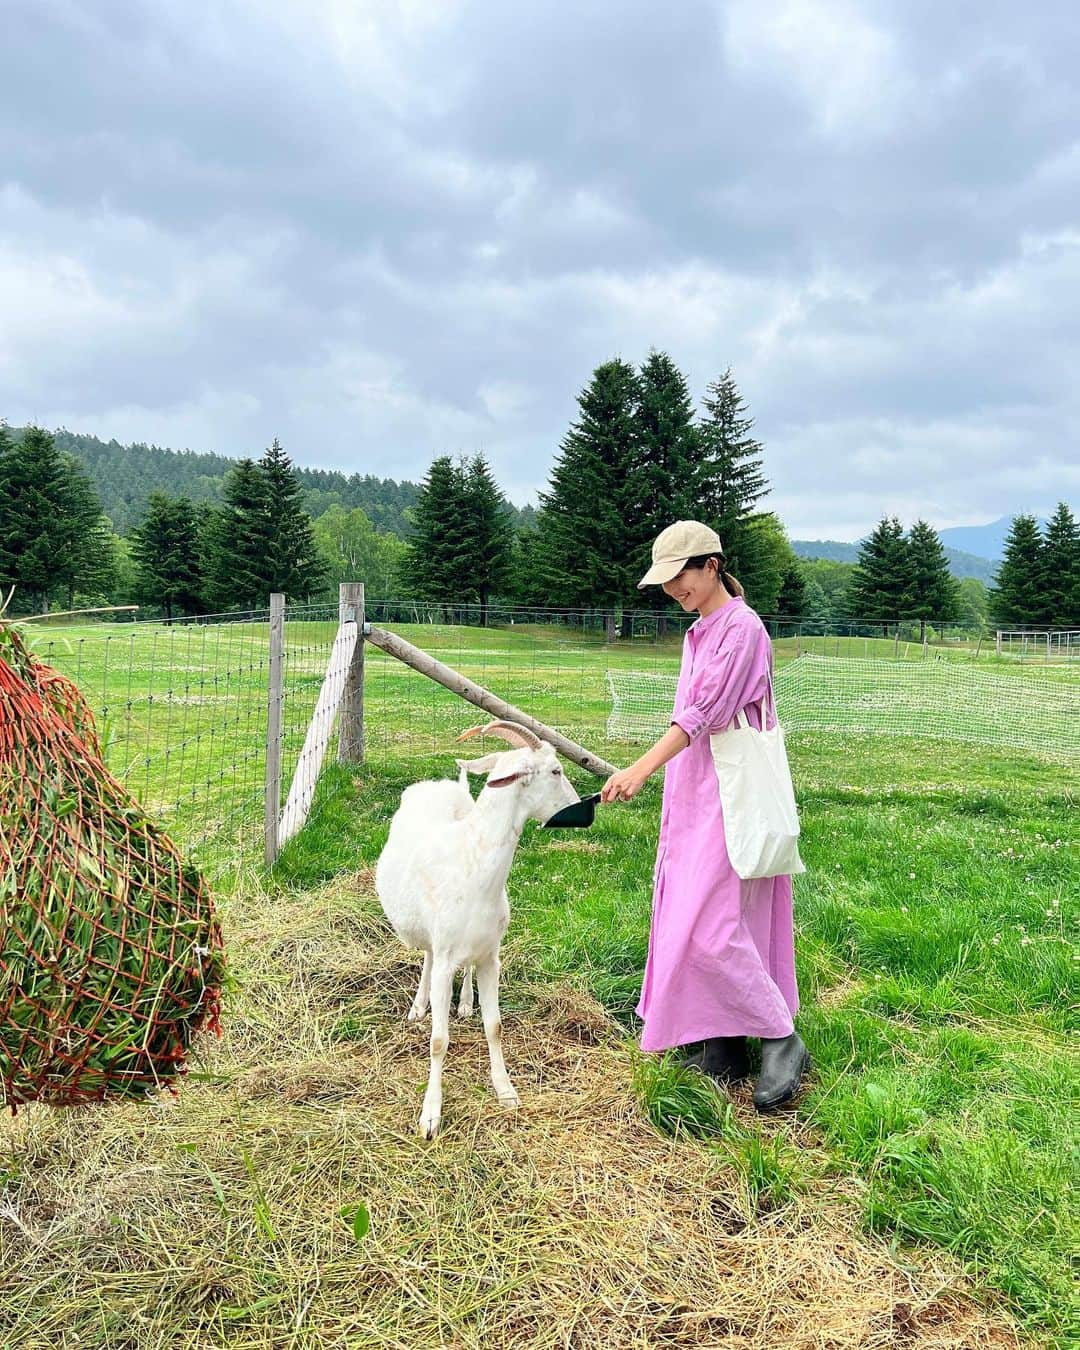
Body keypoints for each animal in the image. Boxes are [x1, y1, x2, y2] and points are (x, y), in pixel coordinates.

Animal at [380, 723, 583, 1134]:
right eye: (555, 771)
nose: (581, 809)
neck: (473, 863)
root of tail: (442, 784)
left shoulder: (492, 955)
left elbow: (495, 1026)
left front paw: (506, 1092)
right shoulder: (445, 956)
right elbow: (438, 1040)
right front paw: (430, 1115)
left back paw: (464, 1004)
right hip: (431, 934)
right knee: (427, 956)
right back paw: (419, 1006)